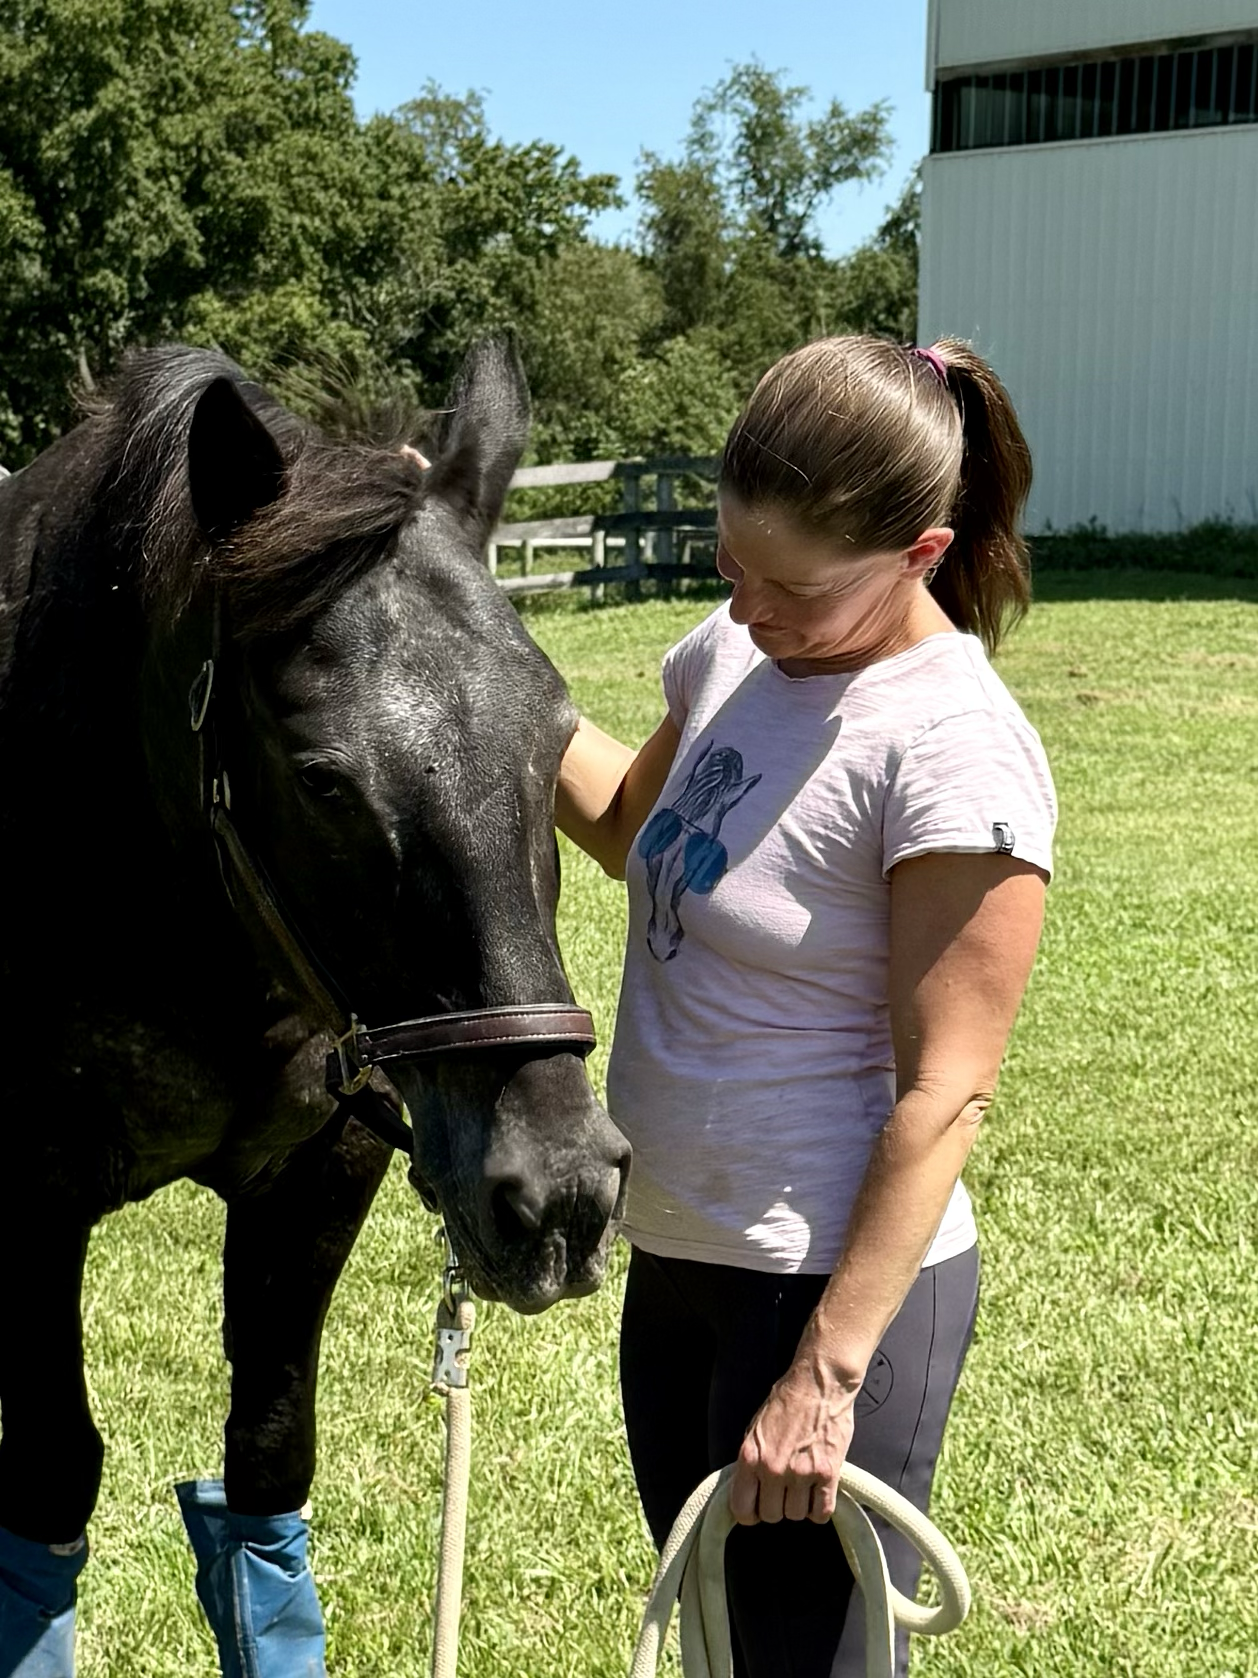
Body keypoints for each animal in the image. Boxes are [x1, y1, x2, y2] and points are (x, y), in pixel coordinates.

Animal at [0, 341, 630, 1674]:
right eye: (321, 778)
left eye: (558, 740)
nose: (559, 1193)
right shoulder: (30, 1197)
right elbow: (50, 1476)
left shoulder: (320, 1171)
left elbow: (267, 1462)